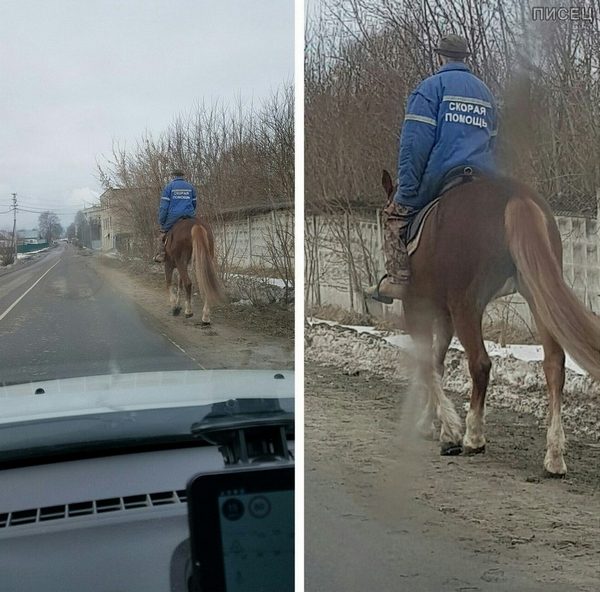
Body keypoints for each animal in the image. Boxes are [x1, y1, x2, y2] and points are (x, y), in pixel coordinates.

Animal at [380, 170, 600, 476]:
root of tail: (515, 197)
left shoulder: (418, 309)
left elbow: (427, 363)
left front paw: (449, 429)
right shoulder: (444, 315)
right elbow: (437, 362)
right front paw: (430, 422)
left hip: (467, 304)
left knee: (481, 363)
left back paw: (473, 436)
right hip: (536, 294)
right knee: (554, 365)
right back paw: (554, 456)